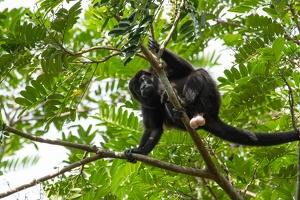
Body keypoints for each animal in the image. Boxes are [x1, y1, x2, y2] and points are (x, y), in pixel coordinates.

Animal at [123, 38, 298, 162]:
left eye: (143, 80)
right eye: (137, 88)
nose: (143, 87)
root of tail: (212, 115)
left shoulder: (158, 70)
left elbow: (187, 69)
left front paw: (156, 47)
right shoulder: (145, 105)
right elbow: (154, 129)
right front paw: (139, 151)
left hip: (210, 102)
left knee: (199, 73)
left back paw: (185, 102)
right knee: (167, 103)